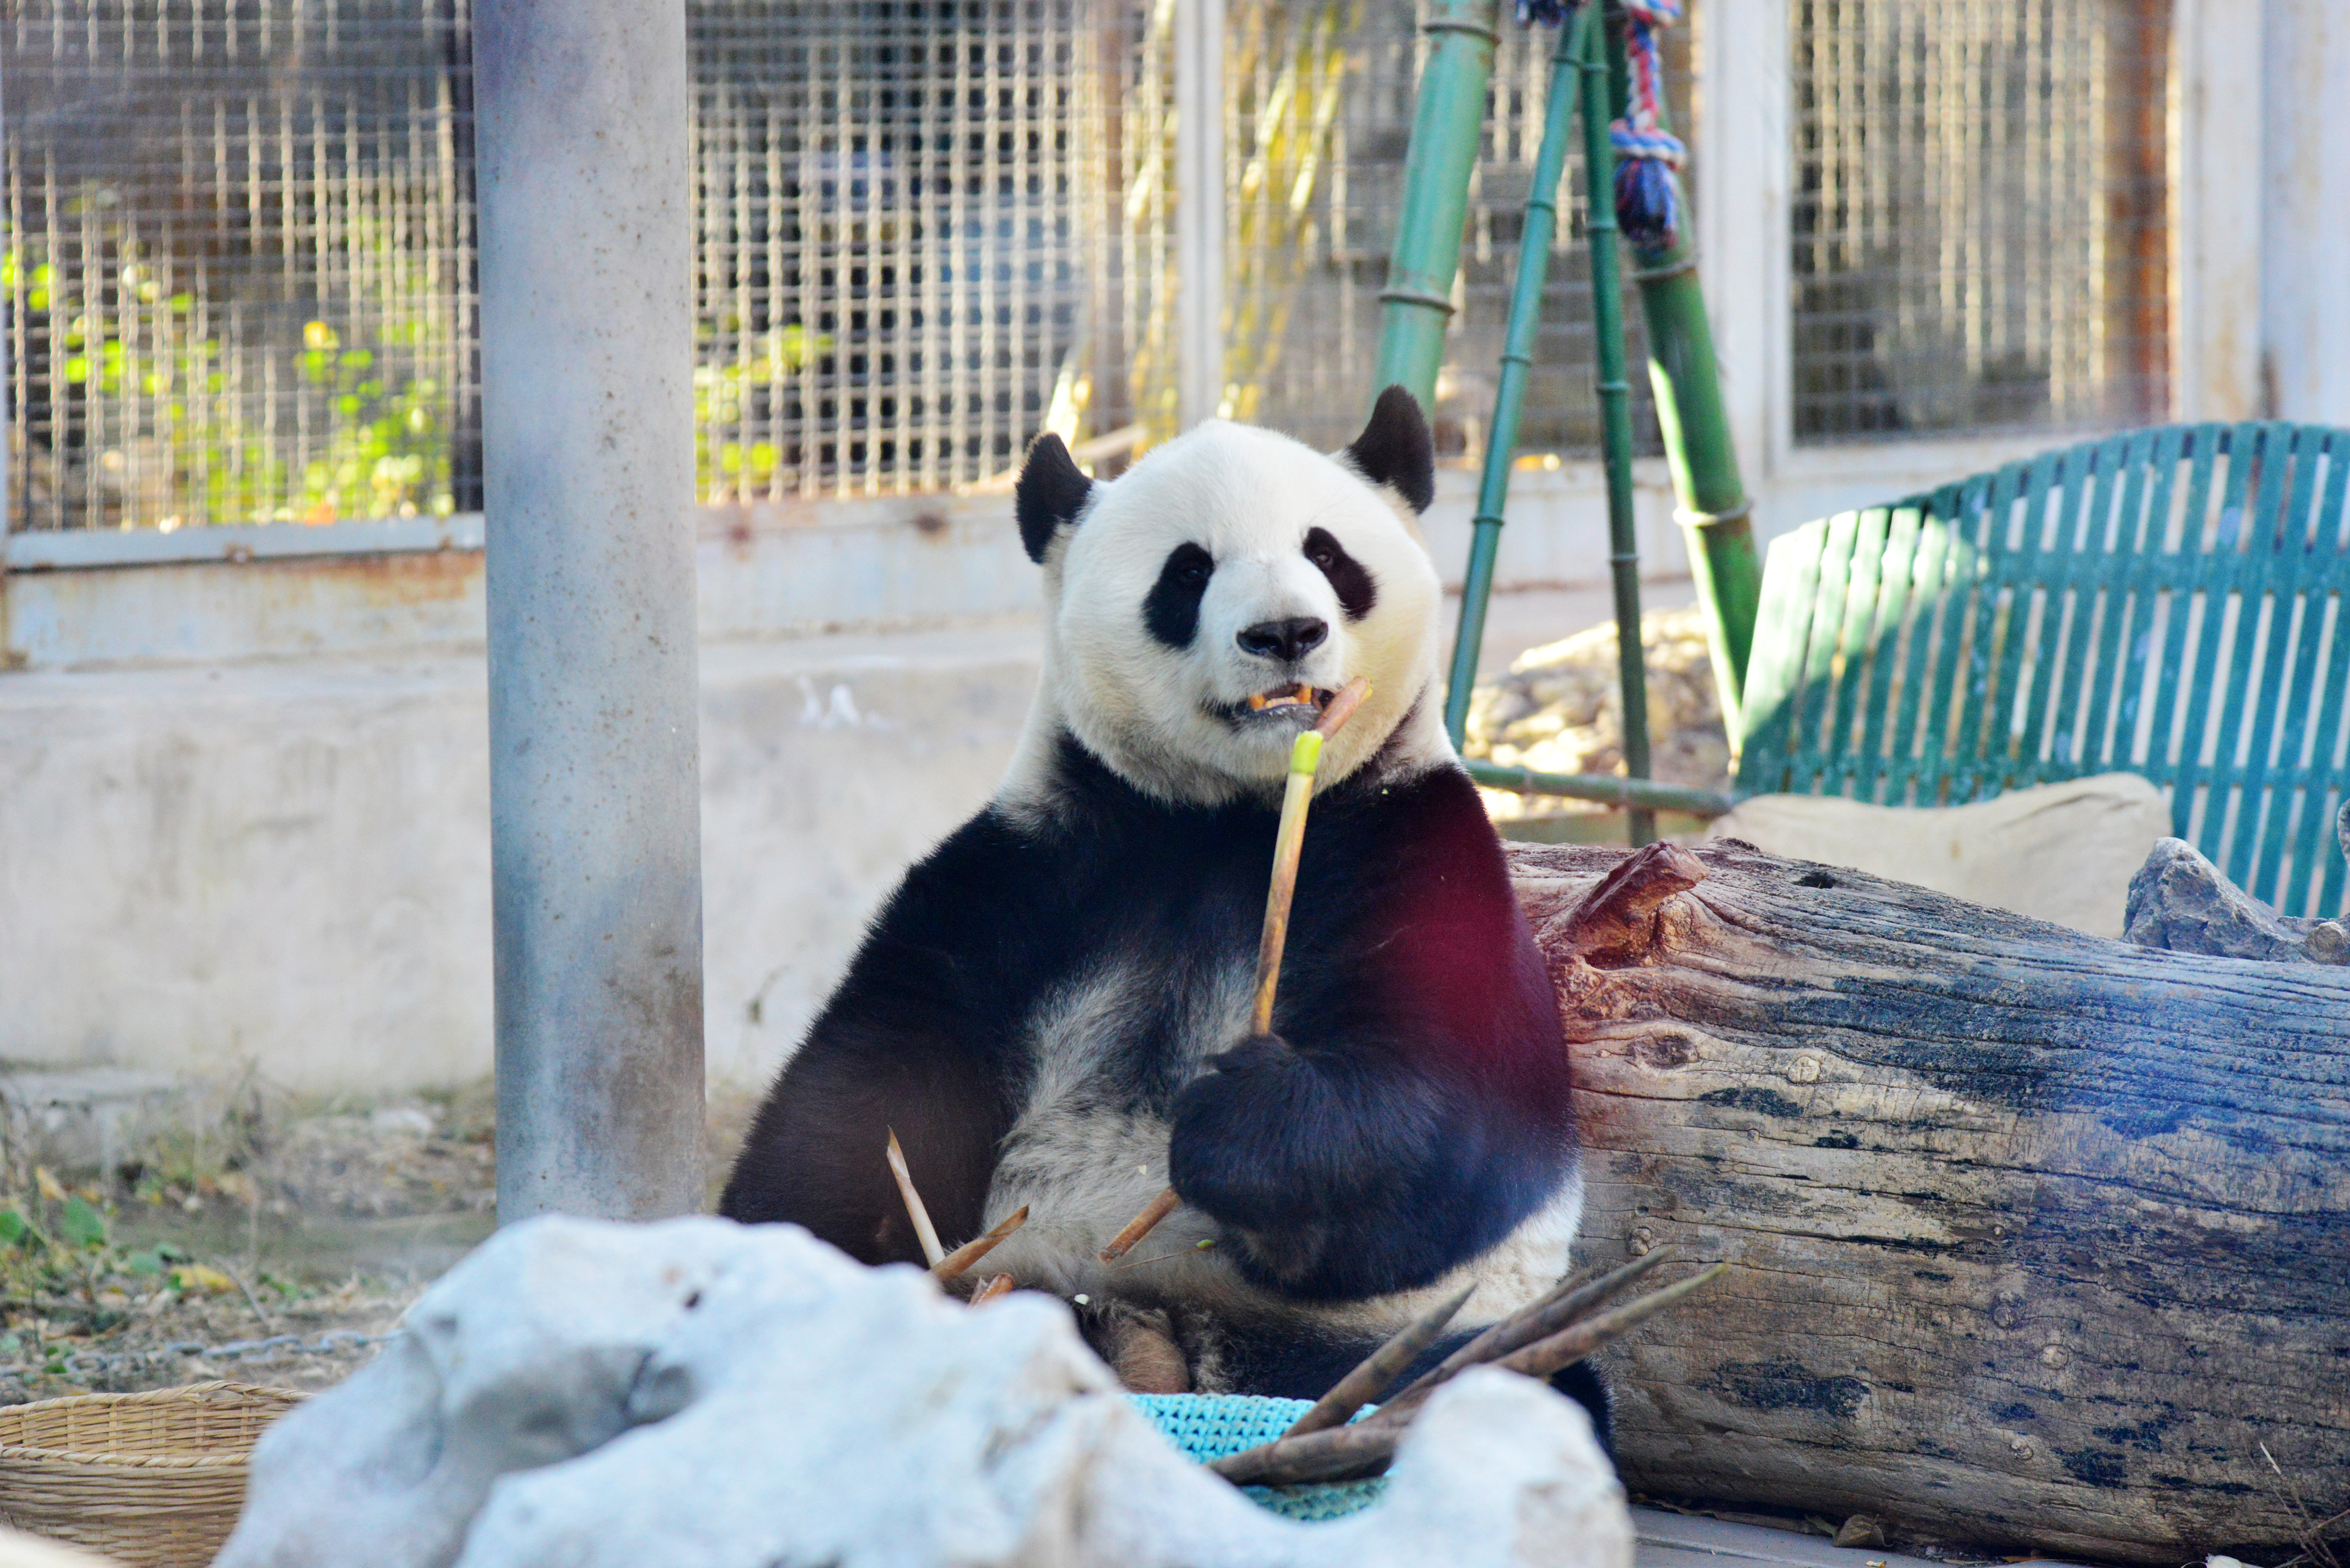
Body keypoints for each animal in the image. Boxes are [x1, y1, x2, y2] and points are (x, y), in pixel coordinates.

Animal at [720, 387, 1606, 1444]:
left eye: (1327, 554)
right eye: (1189, 571)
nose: (1284, 633)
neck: (1227, 819)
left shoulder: (1415, 844)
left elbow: (1457, 1115)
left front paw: (1241, 1122)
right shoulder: (1037, 865)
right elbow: (872, 1085)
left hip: (1376, 1340)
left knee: (1506, 1381)